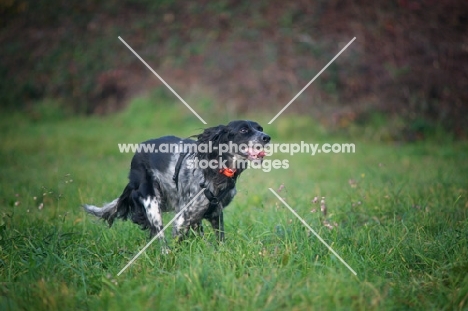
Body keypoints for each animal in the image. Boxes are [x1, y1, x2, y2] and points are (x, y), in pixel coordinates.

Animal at [82, 120, 268, 249]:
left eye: (260, 128)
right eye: (243, 130)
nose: (267, 137)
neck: (216, 170)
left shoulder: (214, 212)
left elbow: (219, 239)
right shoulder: (183, 218)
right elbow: (177, 238)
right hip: (152, 203)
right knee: (160, 235)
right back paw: (166, 254)